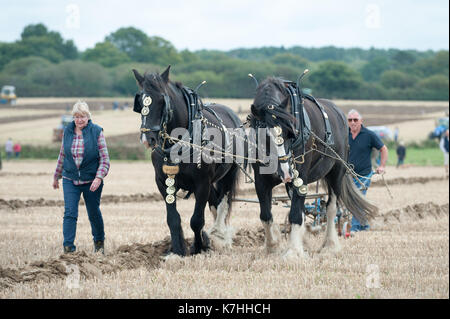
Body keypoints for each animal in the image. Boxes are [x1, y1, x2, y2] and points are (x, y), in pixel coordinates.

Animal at [131, 67, 241, 258]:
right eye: (140, 101)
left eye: (162, 101)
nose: (147, 138)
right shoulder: (163, 182)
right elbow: (173, 219)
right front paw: (177, 250)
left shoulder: (202, 183)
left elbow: (196, 220)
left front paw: (198, 248)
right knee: (214, 202)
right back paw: (213, 238)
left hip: (229, 175)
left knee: (223, 205)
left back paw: (221, 237)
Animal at [248, 77, 378, 260]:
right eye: (265, 137)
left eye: (290, 132)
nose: (286, 172)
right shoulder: (261, 180)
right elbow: (266, 215)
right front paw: (272, 247)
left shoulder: (300, 177)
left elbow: (296, 214)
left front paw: (293, 252)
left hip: (336, 173)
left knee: (331, 208)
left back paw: (330, 245)